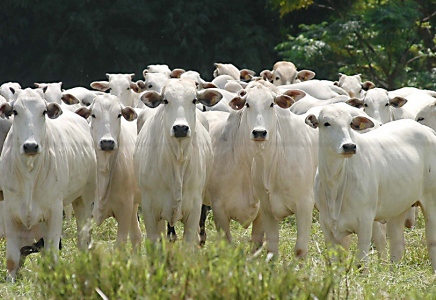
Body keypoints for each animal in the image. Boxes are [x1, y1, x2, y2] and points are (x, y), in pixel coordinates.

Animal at [0, 88, 96, 280]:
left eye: (43, 111)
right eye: (15, 111)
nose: (30, 146)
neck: (29, 173)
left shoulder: (55, 210)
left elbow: (53, 252)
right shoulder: (9, 210)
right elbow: (12, 257)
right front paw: (10, 280)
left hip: (85, 199)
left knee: (83, 239)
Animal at [134, 79, 223, 244]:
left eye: (194, 100)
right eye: (165, 100)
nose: (180, 128)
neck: (177, 161)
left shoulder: (194, 209)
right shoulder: (149, 211)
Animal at [227, 80, 318, 258]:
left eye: (271, 104)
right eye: (247, 104)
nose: (259, 132)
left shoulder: (305, 204)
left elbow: (300, 249)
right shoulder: (266, 207)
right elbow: (272, 247)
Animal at [304, 105, 436, 270]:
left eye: (350, 123)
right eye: (326, 123)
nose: (349, 146)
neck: (335, 183)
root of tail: (427, 130)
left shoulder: (365, 223)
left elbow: (361, 264)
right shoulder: (327, 226)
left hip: (431, 202)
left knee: (432, 240)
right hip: (398, 208)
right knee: (397, 244)